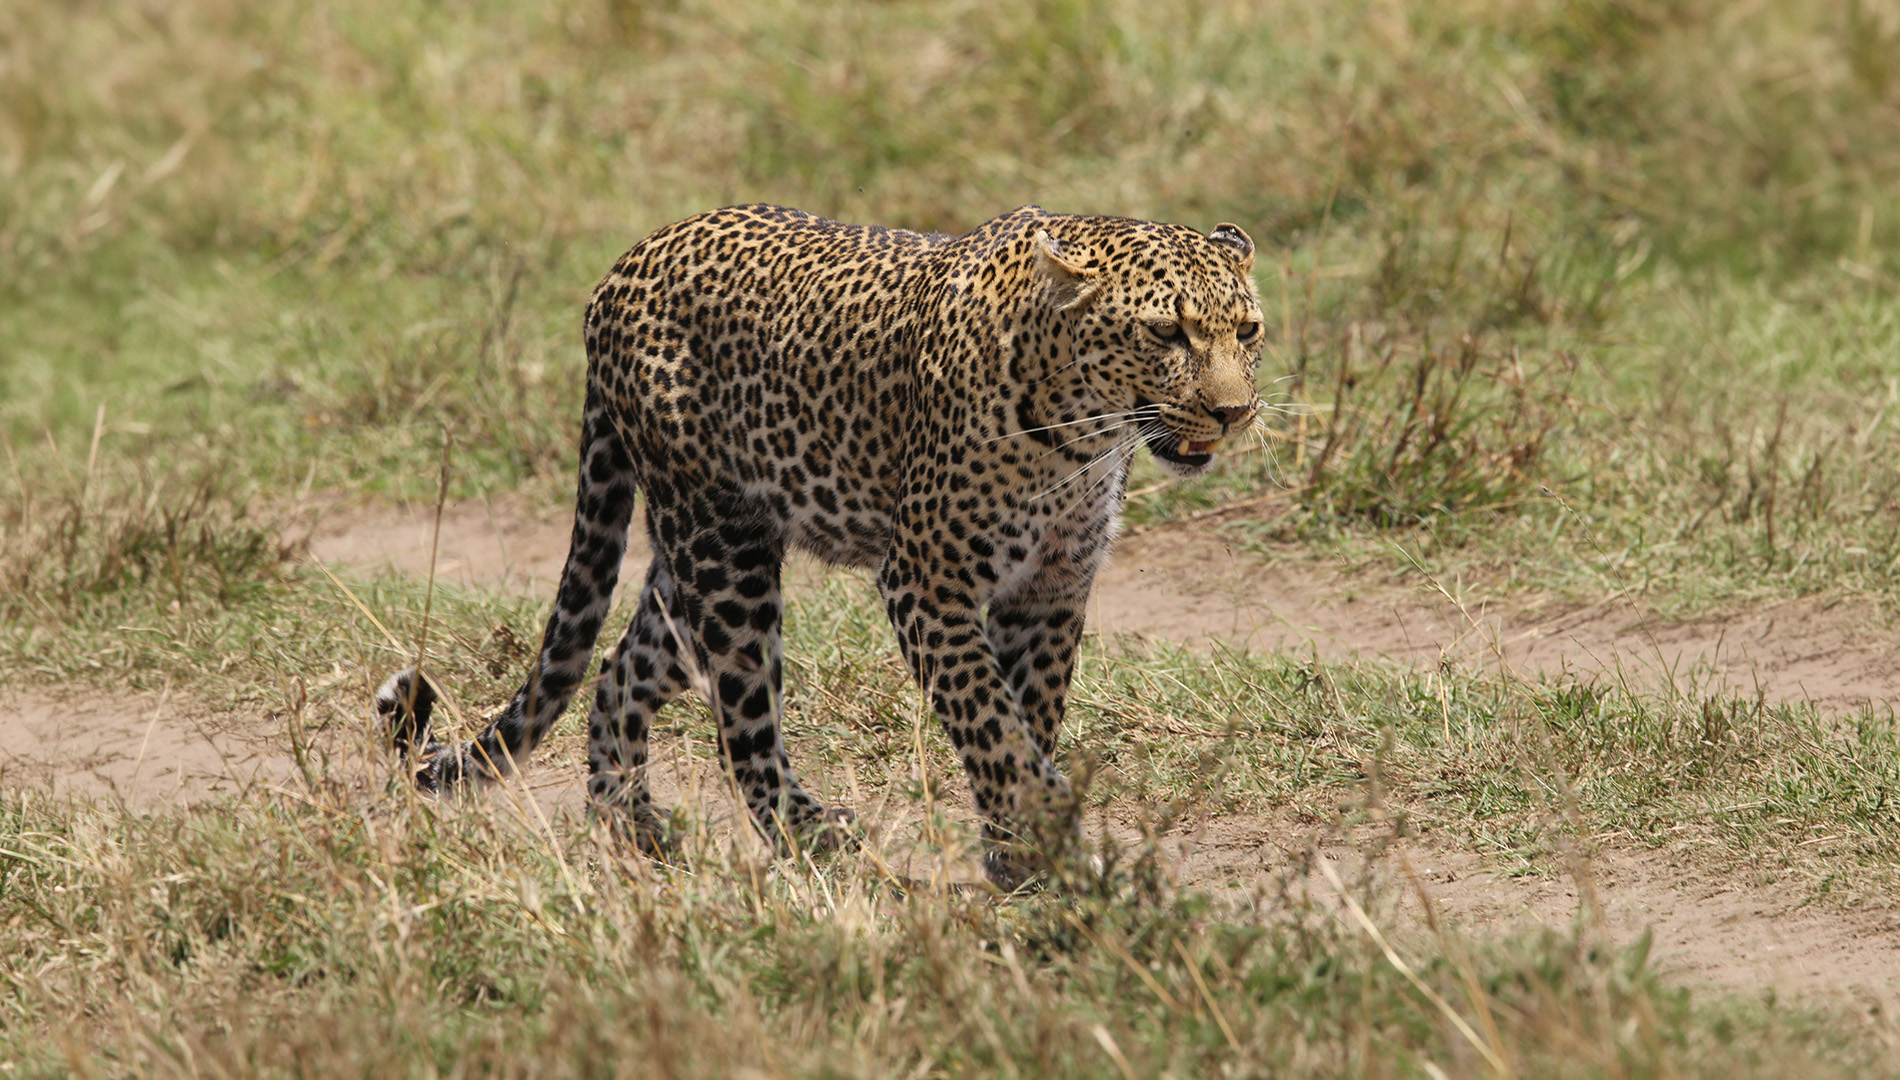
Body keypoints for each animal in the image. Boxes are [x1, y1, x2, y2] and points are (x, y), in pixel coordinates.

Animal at [377, 203, 1264, 886]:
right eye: (1166, 332)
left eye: (1248, 330)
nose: (1234, 412)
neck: (1084, 434)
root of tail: (622, 265)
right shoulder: (926, 584)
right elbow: (994, 724)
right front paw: (1045, 835)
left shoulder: (1050, 590)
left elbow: (1028, 717)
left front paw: (1019, 854)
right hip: (725, 553)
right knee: (743, 724)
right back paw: (807, 834)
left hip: (695, 560)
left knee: (621, 667)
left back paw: (628, 828)